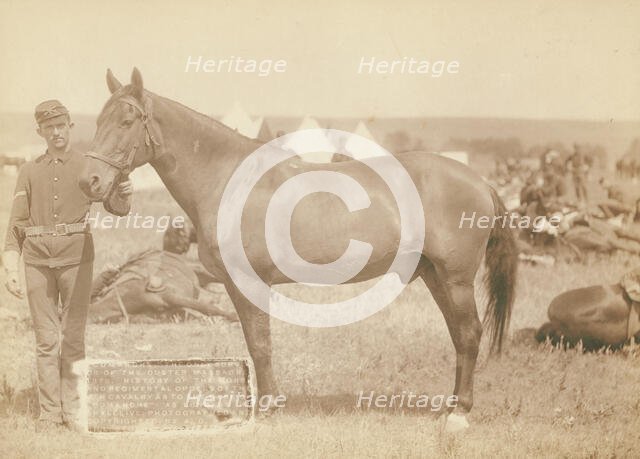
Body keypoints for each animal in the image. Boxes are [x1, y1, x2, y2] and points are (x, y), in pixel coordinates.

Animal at [78, 68, 518, 432]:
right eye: (97, 121)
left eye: (127, 121)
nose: (90, 181)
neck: (230, 180)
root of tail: (479, 181)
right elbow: (256, 342)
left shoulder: (248, 283)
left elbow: (260, 345)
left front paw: (268, 408)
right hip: (435, 276)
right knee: (459, 336)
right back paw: (450, 406)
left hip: (455, 279)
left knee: (469, 334)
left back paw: (459, 413)